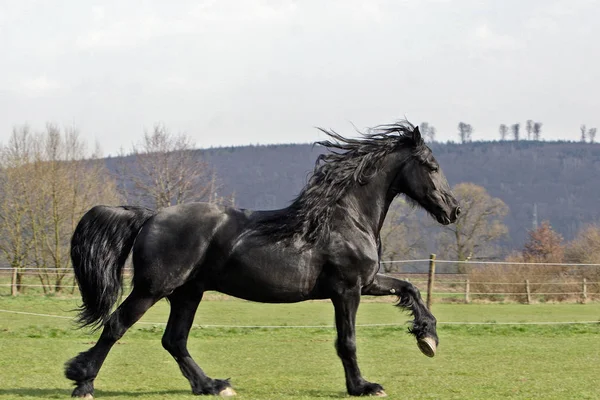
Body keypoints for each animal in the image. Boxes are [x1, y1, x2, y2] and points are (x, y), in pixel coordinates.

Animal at [65, 120, 460, 398]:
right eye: (431, 165)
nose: (454, 210)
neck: (345, 218)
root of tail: (150, 216)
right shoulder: (347, 290)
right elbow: (347, 341)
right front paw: (363, 387)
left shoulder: (368, 282)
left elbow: (409, 289)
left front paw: (428, 338)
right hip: (153, 288)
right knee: (117, 325)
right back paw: (82, 383)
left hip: (188, 293)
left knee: (174, 340)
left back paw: (212, 385)